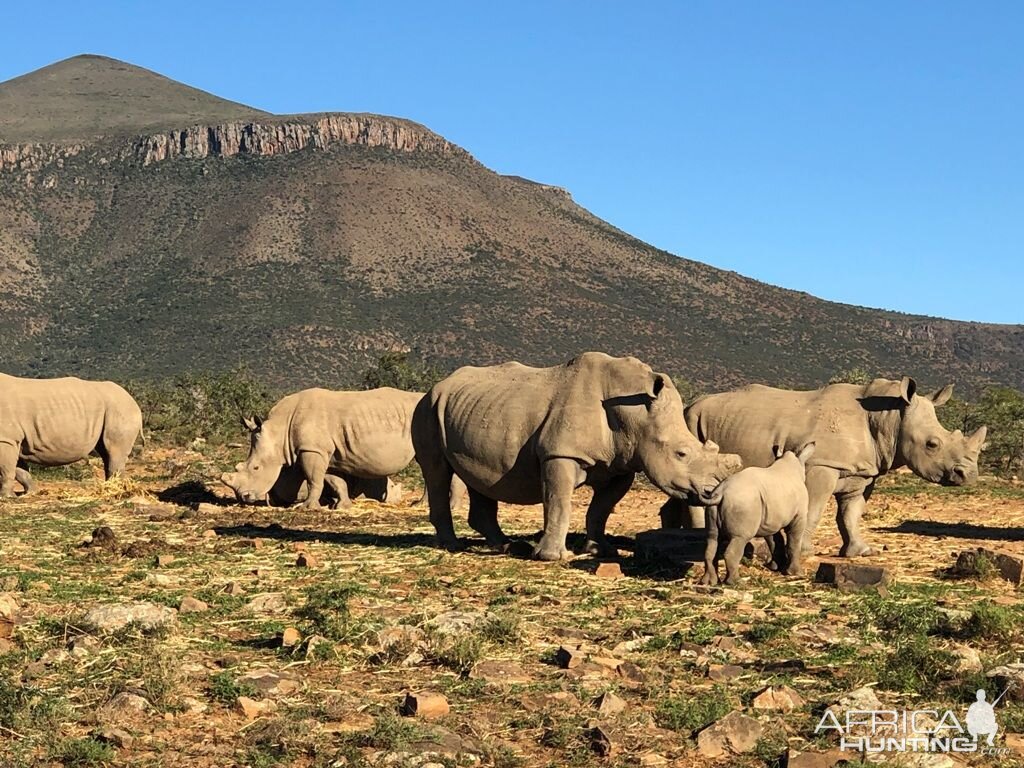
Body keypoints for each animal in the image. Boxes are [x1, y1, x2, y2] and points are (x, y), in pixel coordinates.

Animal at [0, 374, 144, 499]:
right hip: (114, 408)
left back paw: (114, 489)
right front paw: (31, 492)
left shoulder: (7, 439)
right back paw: (110, 487)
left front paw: (6, 497)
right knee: (105, 452)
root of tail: (133, 400)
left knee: (114, 451)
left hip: (121, 408)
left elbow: (6, 468)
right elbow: (18, 469)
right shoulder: (11, 439)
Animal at [223, 391, 464, 512]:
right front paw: (342, 506)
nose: (244, 498)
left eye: (256, 467)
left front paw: (306, 507)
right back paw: (422, 505)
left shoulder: (312, 450)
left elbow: (313, 479)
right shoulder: (325, 452)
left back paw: (447, 507)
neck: (279, 431)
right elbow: (334, 480)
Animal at [411, 352, 741, 561]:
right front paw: (552, 557)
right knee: (437, 470)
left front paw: (601, 550)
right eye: (681, 453)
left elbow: (600, 509)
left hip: (473, 409)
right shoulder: (559, 453)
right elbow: (559, 503)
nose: (711, 491)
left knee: (478, 474)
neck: (636, 414)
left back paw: (507, 546)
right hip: (427, 407)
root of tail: (437, 385)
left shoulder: (621, 464)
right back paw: (452, 546)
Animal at [667, 378, 987, 561]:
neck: (889, 418)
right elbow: (815, 508)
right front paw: (804, 553)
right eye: (932, 444)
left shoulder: (863, 471)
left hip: (700, 421)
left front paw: (860, 552)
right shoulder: (821, 464)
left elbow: (850, 513)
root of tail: (691, 405)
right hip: (689, 422)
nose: (967, 476)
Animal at [696, 442, 815, 585]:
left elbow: (774, 540)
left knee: (712, 538)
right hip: (743, 502)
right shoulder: (799, 516)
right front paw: (796, 573)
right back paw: (737, 582)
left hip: (715, 504)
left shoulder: (770, 517)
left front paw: (776, 567)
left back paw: (708, 582)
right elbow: (794, 542)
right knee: (740, 538)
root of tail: (721, 492)